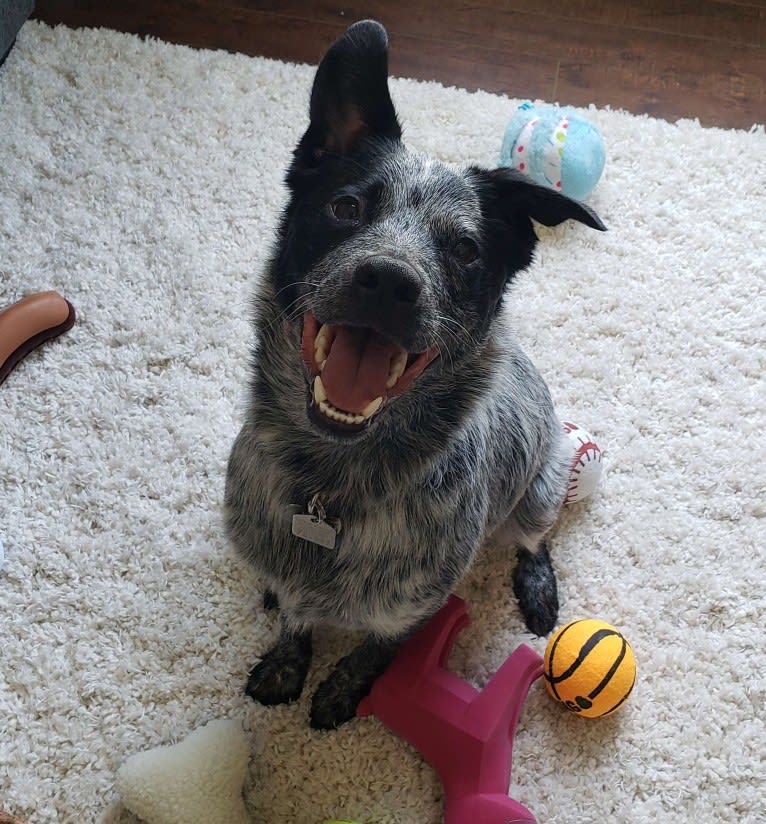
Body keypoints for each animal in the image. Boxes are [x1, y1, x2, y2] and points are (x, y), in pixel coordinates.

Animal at [222, 17, 608, 728]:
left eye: (465, 248)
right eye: (346, 209)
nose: (389, 280)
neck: (331, 488)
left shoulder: (412, 606)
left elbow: (373, 651)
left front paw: (341, 691)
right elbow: (293, 618)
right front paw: (287, 661)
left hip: (542, 480)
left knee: (534, 538)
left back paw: (537, 585)